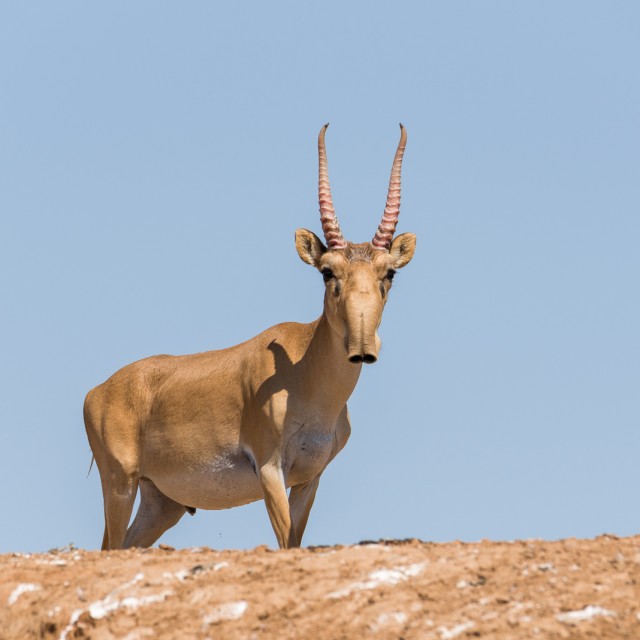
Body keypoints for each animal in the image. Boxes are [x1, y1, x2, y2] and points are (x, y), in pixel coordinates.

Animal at [84, 124, 417, 550]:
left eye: (388, 273)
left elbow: (295, 542)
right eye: (327, 271)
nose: (362, 348)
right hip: (119, 485)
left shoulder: (309, 479)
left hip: (161, 503)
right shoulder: (270, 470)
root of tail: (97, 392)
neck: (303, 373)